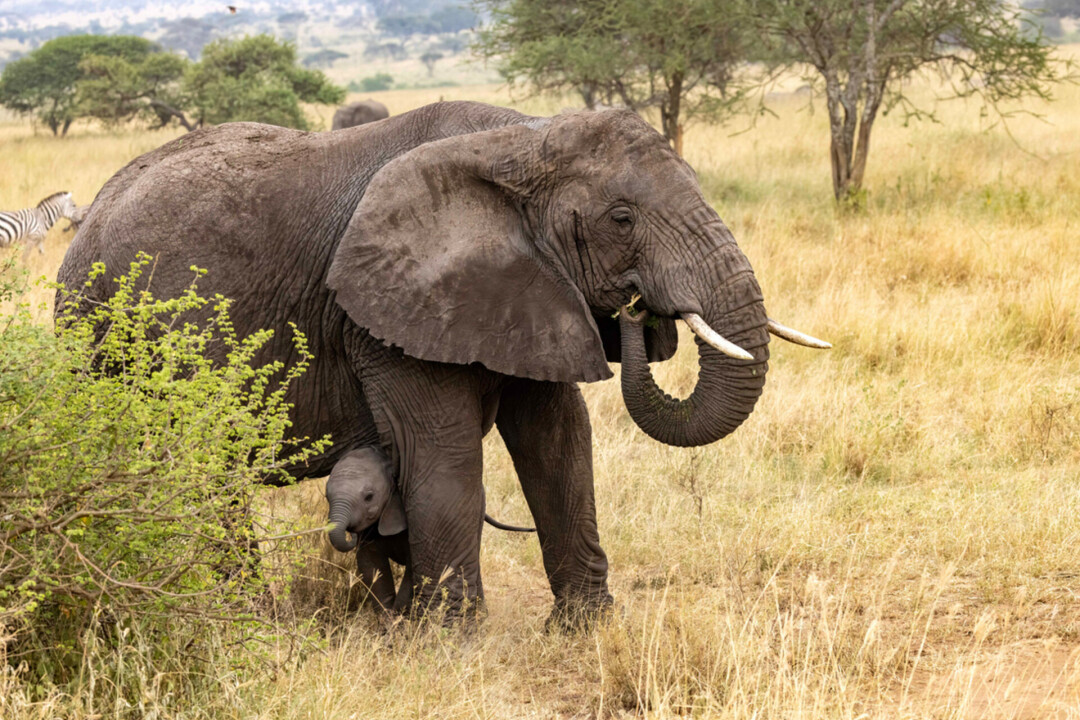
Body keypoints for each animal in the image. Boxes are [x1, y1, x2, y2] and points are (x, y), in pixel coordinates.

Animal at [56, 100, 828, 626]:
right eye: (621, 219)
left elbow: (557, 442)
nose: (639, 309)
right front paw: (452, 641)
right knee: (200, 475)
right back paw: (246, 619)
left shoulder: (526, 288)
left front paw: (585, 630)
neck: (520, 140)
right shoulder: (385, 309)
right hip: (89, 329)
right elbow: (443, 453)